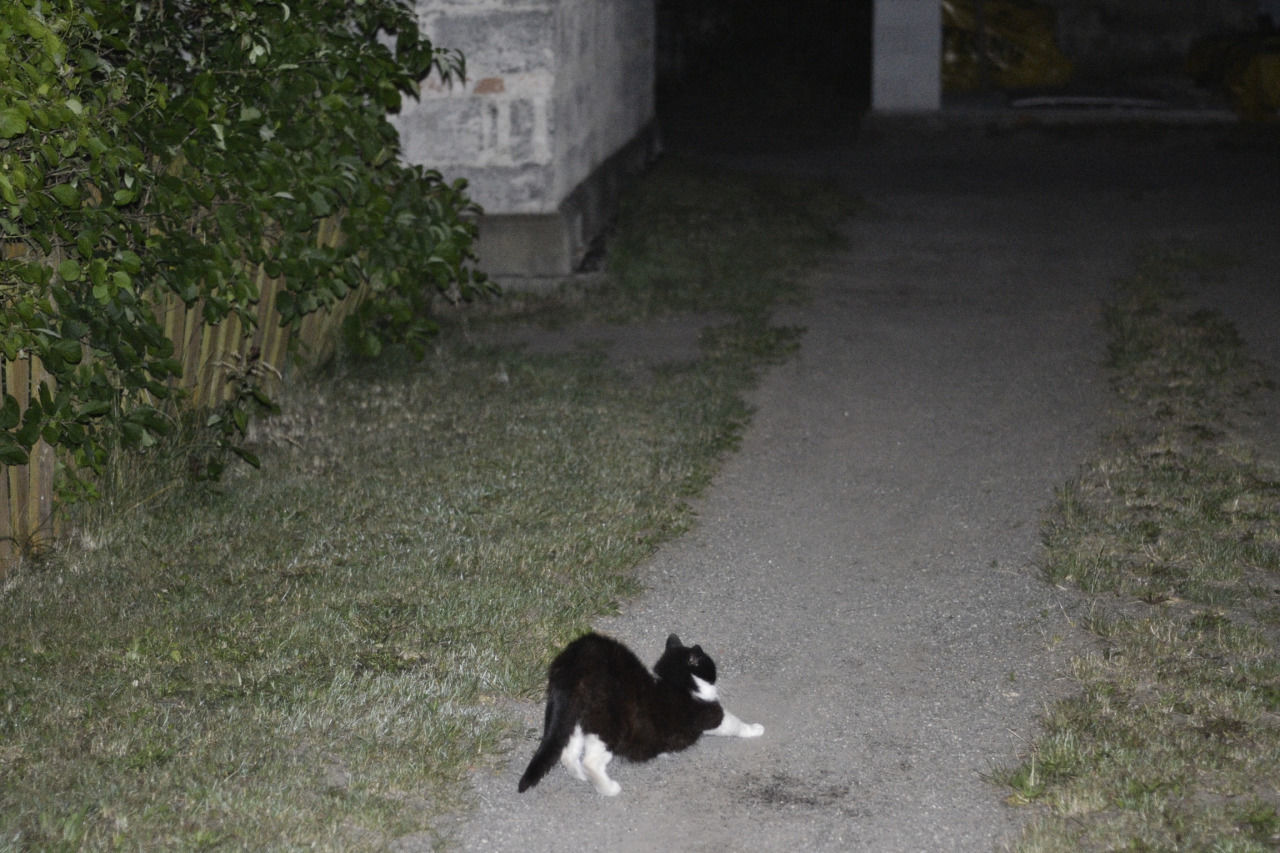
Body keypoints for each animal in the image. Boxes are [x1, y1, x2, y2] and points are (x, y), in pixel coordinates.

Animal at [517, 627, 762, 794]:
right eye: (708, 663)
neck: (677, 683)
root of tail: (574, 664)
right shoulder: (712, 716)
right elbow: (735, 724)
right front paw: (755, 729)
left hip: (574, 718)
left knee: (568, 752)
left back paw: (580, 777)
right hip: (609, 726)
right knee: (591, 761)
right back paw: (608, 788)